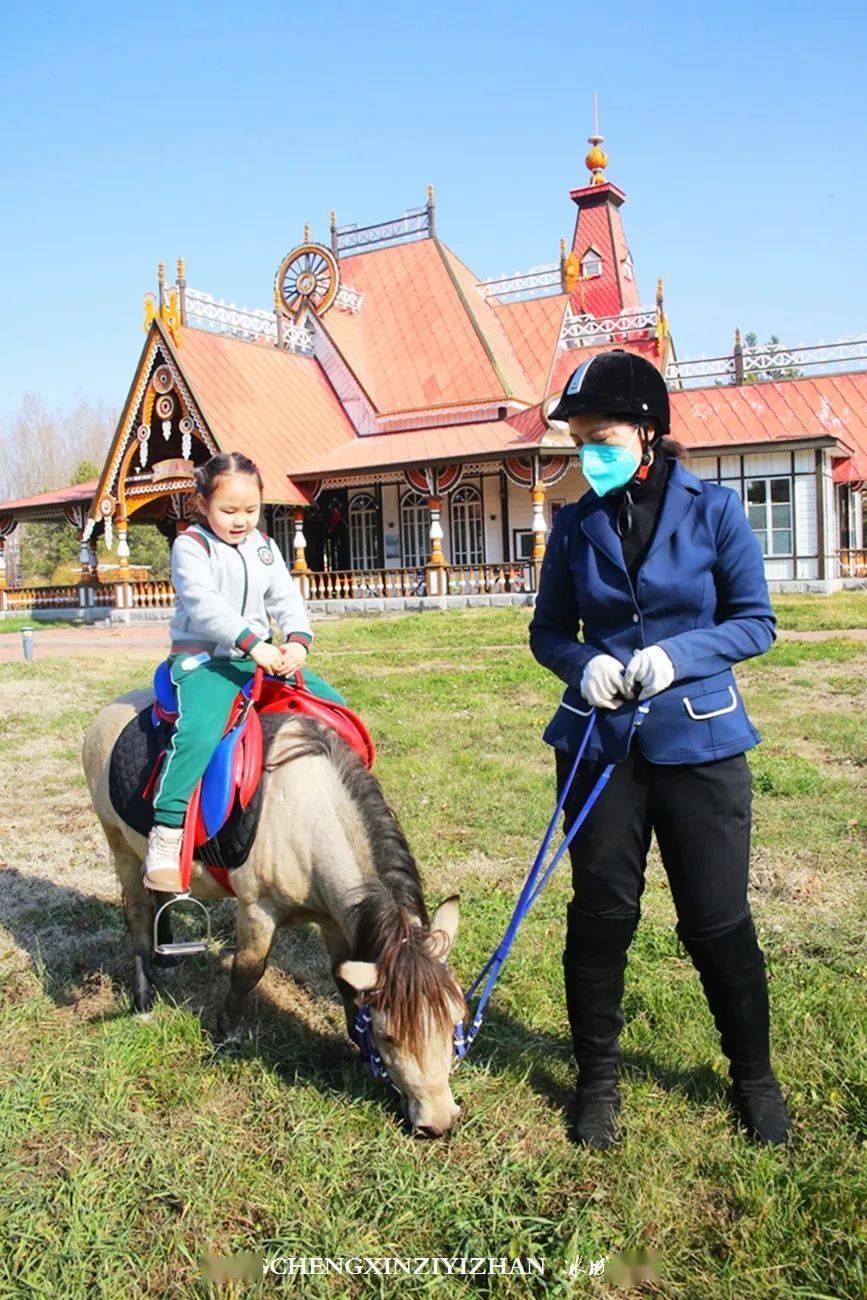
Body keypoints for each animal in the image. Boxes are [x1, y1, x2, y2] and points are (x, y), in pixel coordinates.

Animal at [81, 691, 467, 1138]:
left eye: (456, 1018)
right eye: (388, 1036)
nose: (438, 1122)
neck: (310, 814)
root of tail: (111, 710)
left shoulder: (335, 918)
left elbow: (343, 980)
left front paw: (356, 1046)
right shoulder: (257, 909)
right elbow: (247, 971)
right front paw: (226, 1036)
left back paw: (168, 957)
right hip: (119, 845)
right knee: (139, 914)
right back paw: (143, 999)